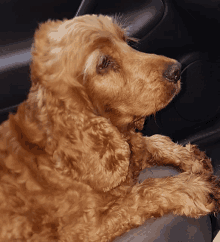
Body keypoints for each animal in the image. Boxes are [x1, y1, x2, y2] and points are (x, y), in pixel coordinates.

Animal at [0, 14, 219, 241]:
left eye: (126, 41)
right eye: (104, 63)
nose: (176, 70)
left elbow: (149, 142)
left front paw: (190, 158)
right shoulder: (85, 229)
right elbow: (139, 194)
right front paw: (189, 188)